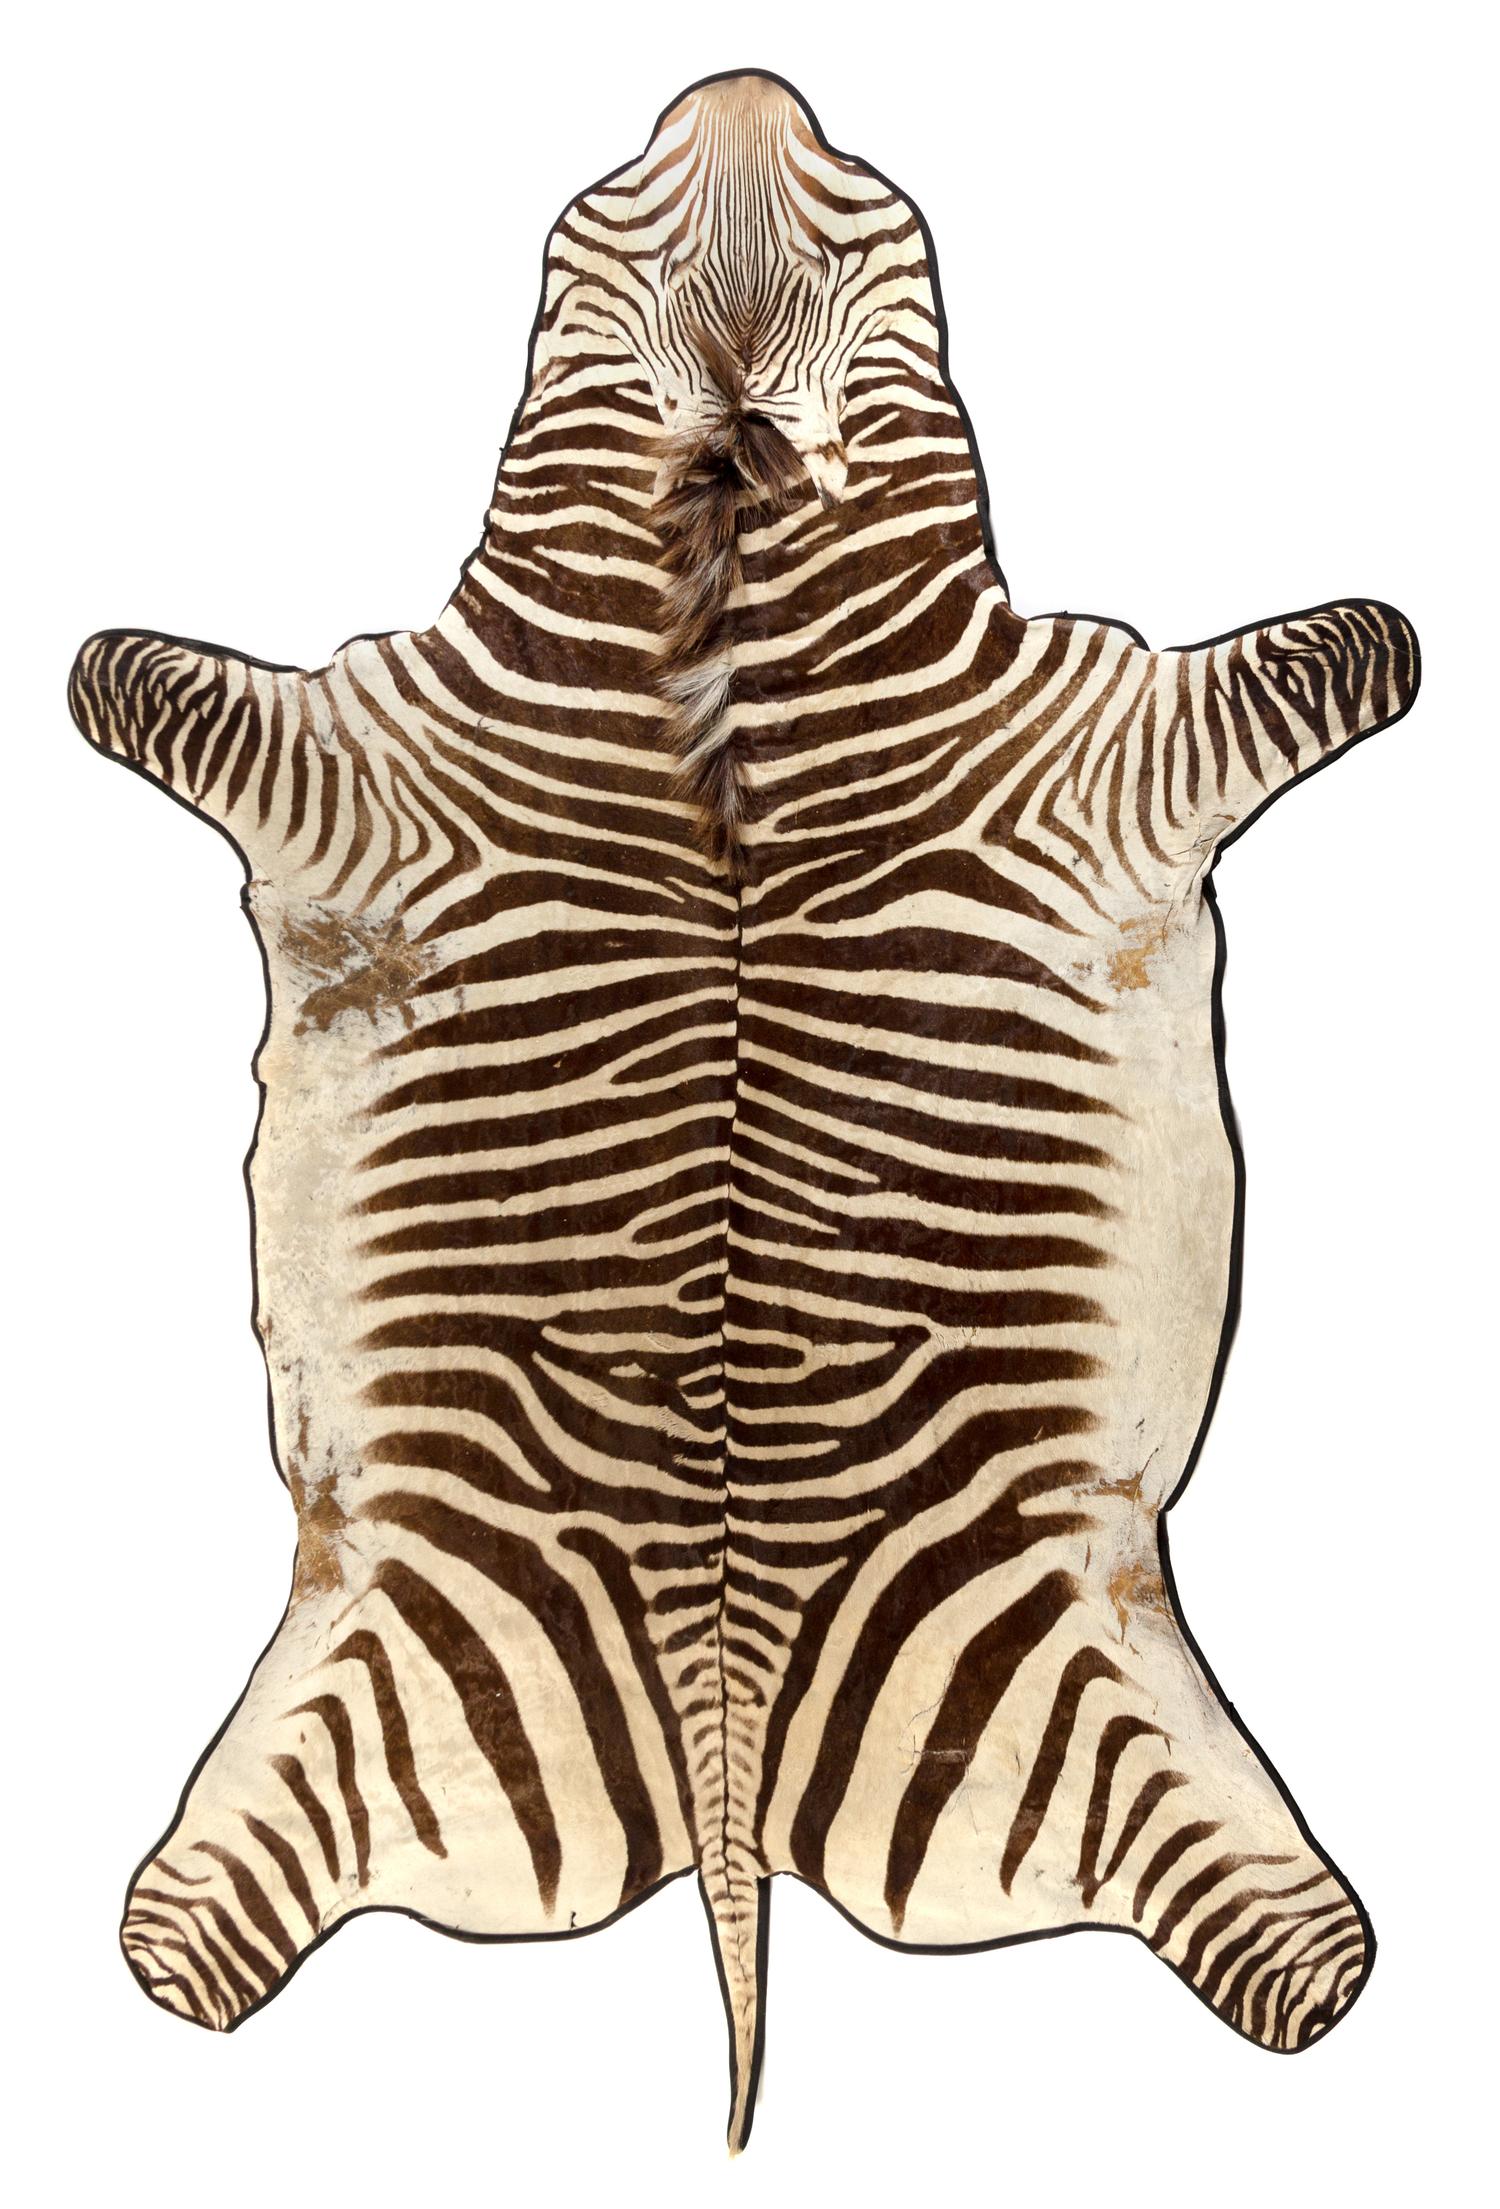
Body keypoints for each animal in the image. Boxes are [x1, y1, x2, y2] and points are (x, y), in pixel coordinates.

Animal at [69, 70, 1418, 2149]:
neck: (739, 584)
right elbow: (132, 677)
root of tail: (730, 1783)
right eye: (592, 214)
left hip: (1052, 1635)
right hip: (406, 1631)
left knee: (1304, 1969)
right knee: (183, 1948)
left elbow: (1349, 647)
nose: (739, 93)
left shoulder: (1117, 749)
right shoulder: (352, 769)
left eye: (879, 211)